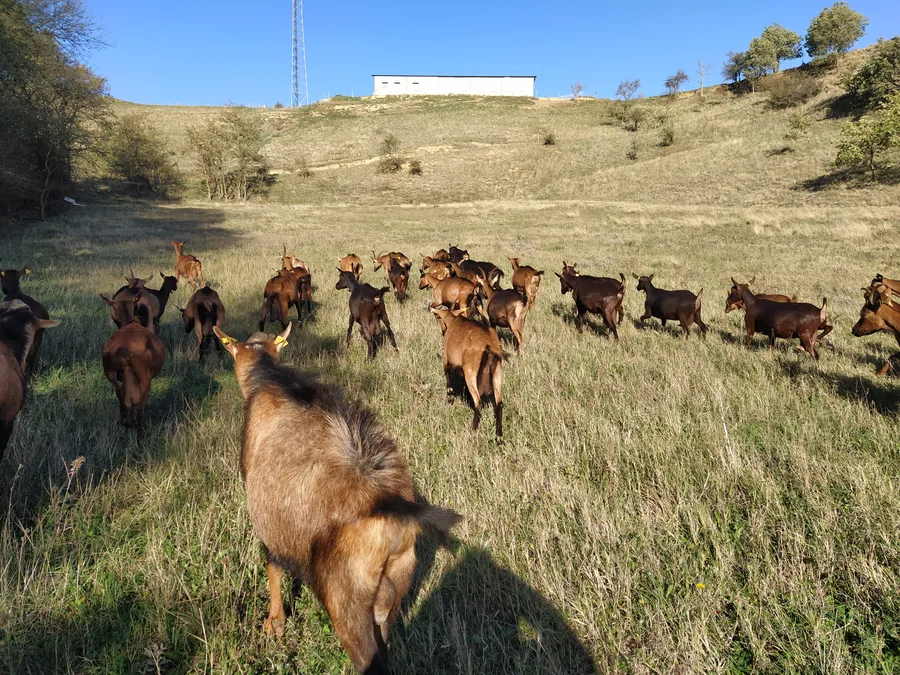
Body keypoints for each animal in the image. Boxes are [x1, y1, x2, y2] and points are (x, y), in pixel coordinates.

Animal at [214, 324, 460, 672]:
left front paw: (275, 623)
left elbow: (272, 566)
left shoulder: (267, 522)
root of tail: (390, 507)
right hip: (394, 586)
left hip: (347, 604)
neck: (269, 380)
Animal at [430, 306, 502, 444]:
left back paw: (472, 432)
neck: (453, 320)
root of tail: (489, 346)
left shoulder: (447, 362)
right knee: (499, 404)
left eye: (439, 319)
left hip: (471, 373)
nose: (443, 331)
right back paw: (499, 437)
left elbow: (448, 380)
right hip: (496, 375)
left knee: (478, 404)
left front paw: (450, 400)